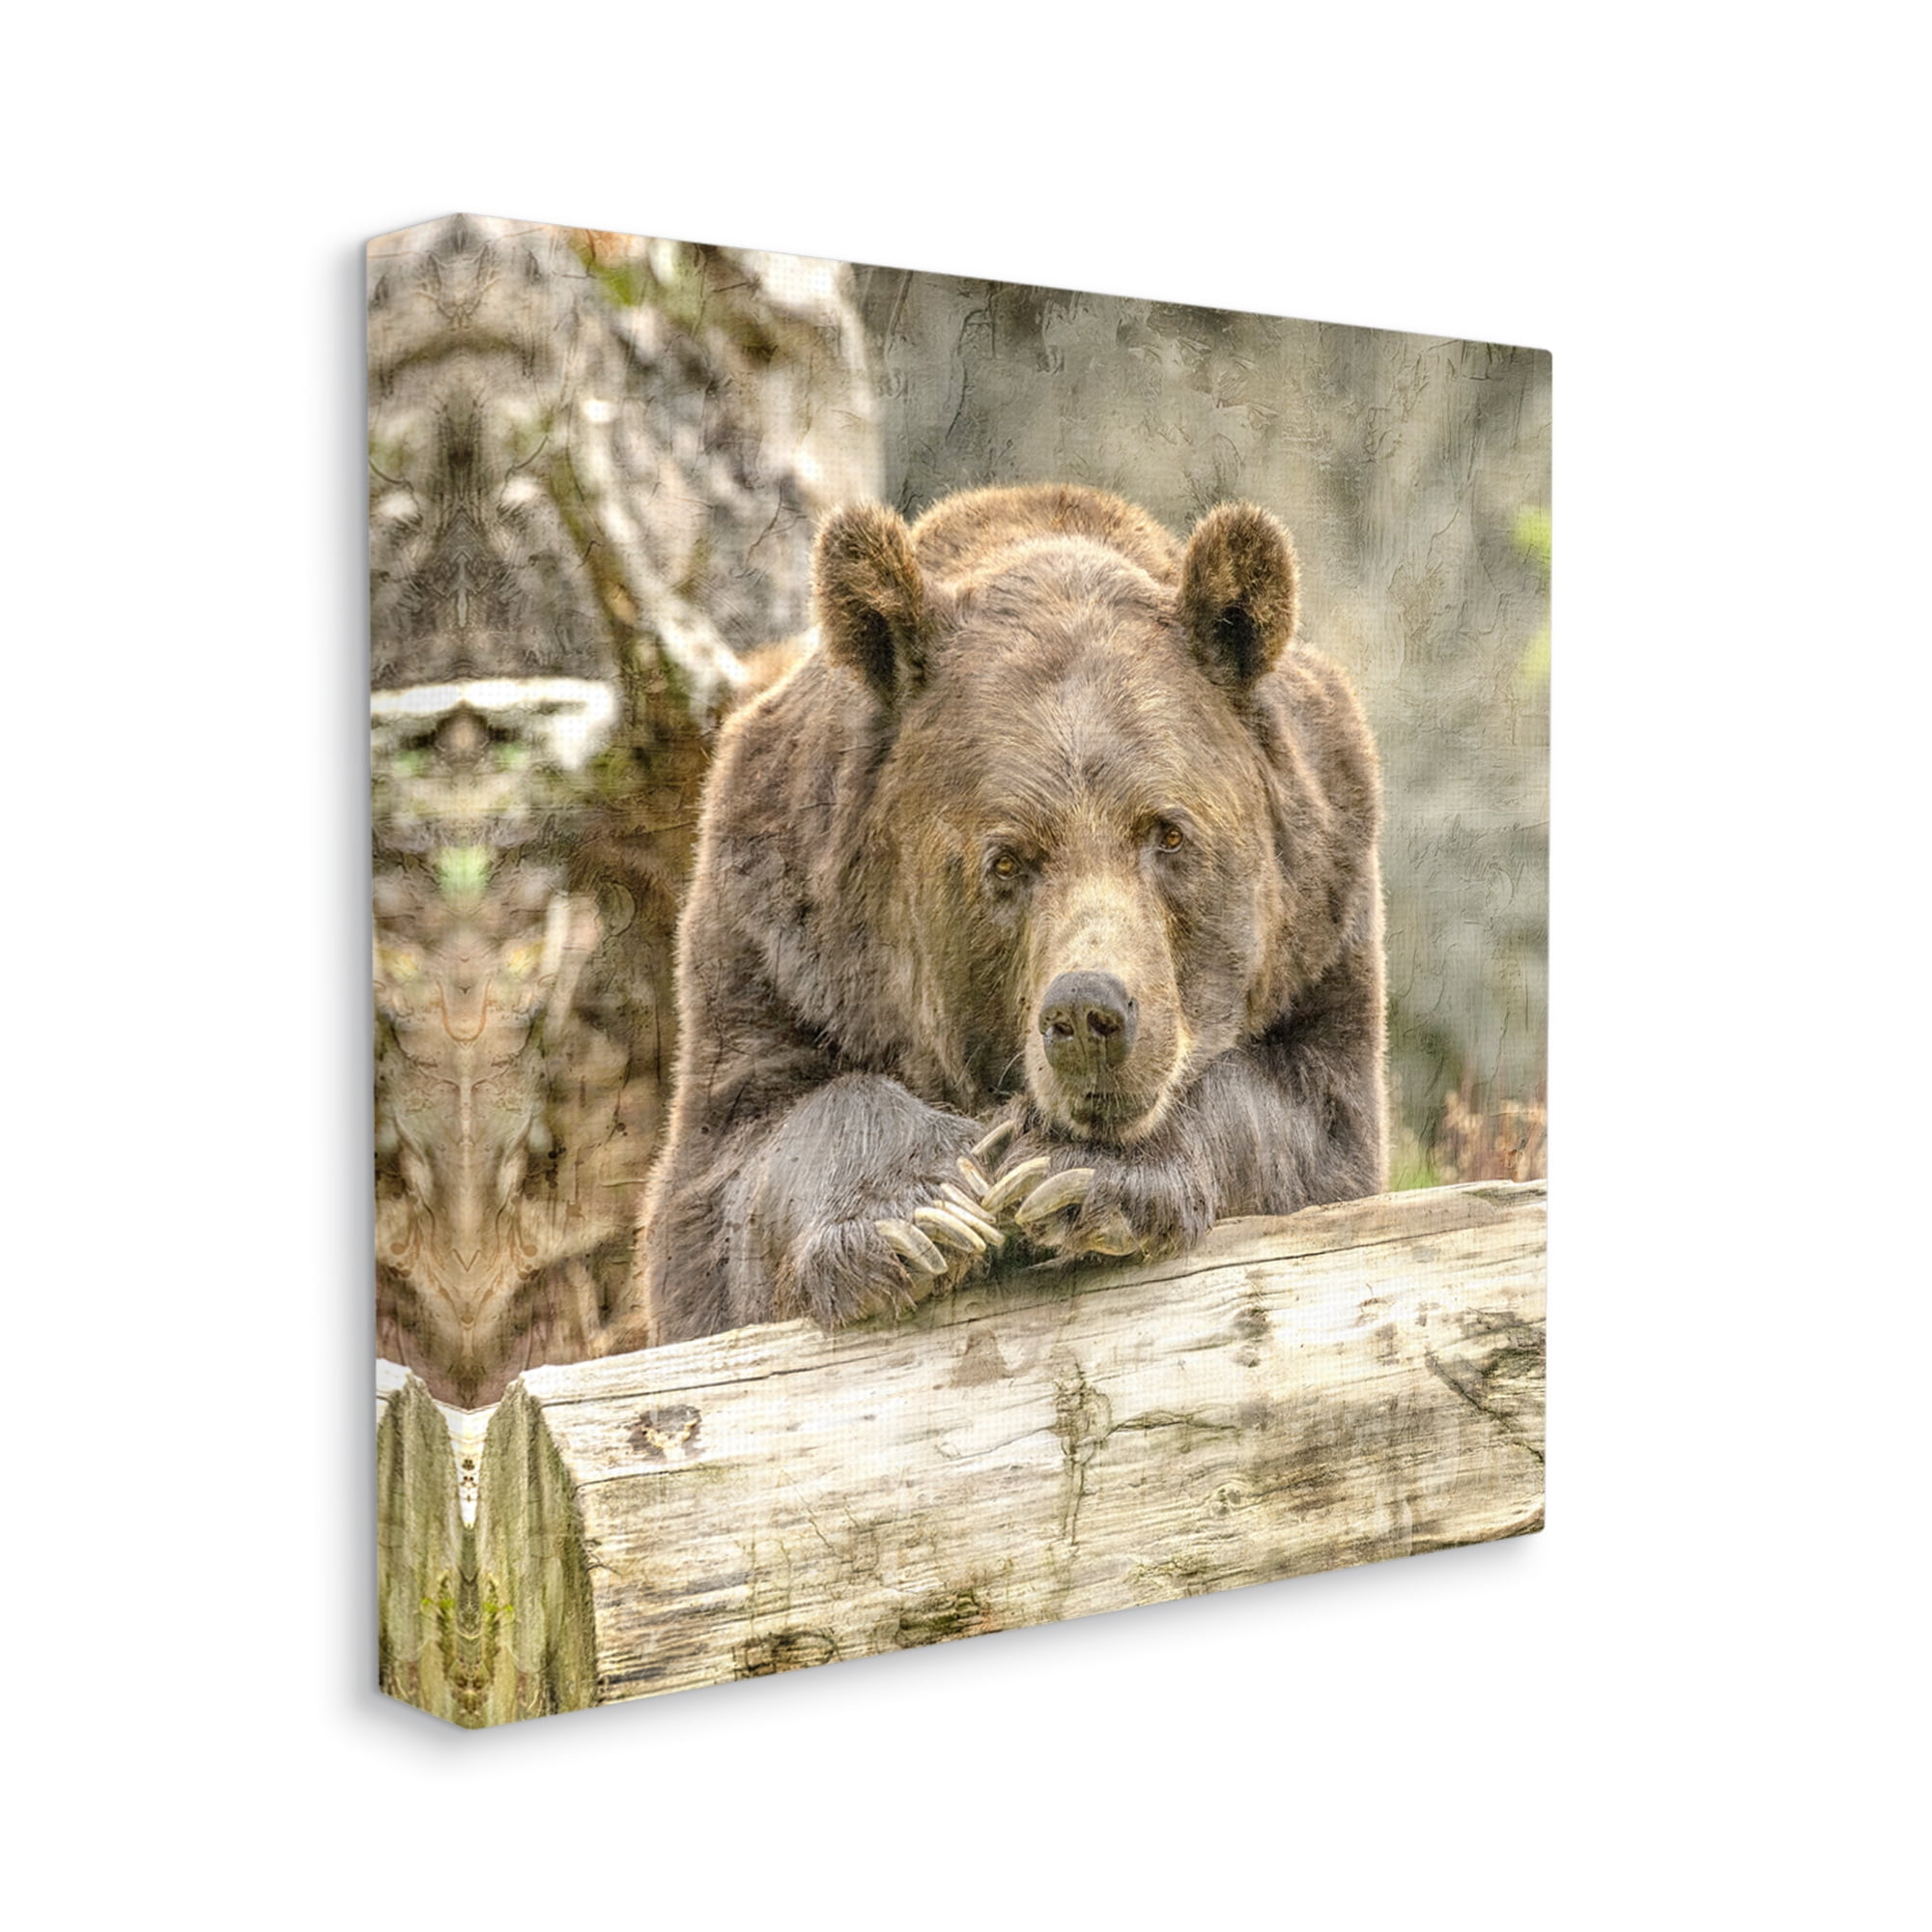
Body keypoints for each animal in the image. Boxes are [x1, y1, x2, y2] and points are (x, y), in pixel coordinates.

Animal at [625, 483, 1386, 1346]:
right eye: (1008, 859)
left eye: (1167, 832)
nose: (1089, 1014)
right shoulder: (779, 940)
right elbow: (735, 1169)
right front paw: (920, 1213)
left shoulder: (1321, 927)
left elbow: (1297, 1119)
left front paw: (1070, 1172)